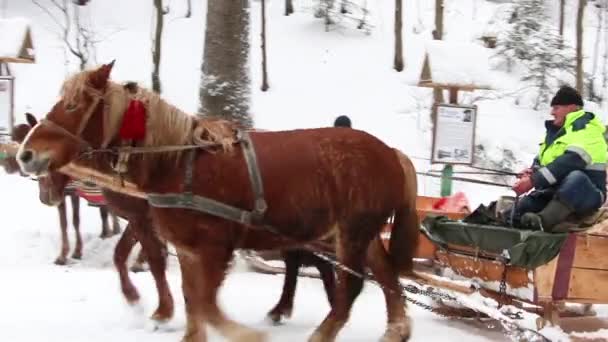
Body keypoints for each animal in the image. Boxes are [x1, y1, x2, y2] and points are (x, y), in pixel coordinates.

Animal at [17, 62, 418, 340]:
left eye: (73, 105)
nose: (25, 155)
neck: (178, 161)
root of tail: (390, 152)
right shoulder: (187, 249)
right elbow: (191, 298)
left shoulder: (212, 247)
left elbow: (204, 303)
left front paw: (242, 333)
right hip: (360, 234)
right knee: (385, 276)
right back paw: (395, 329)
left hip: (350, 233)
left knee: (351, 286)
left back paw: (319, 331)